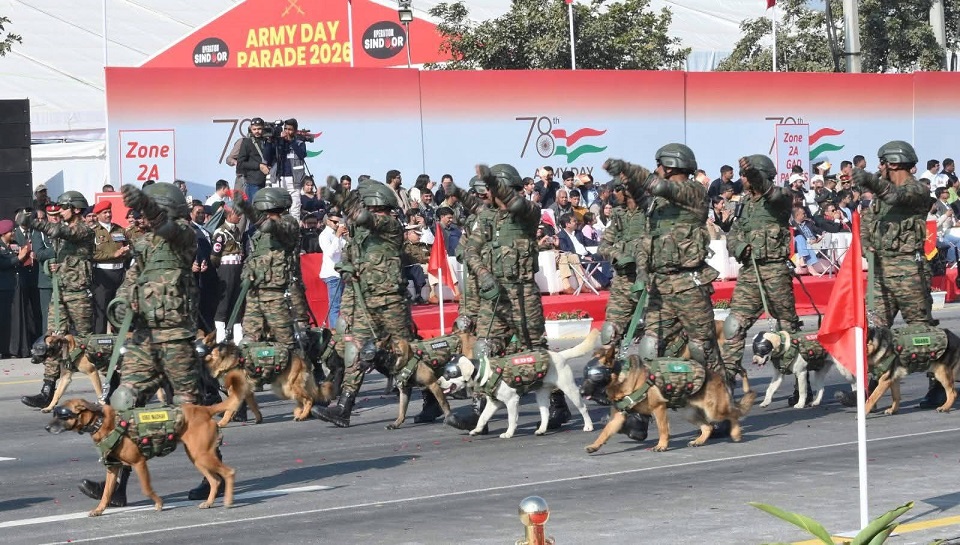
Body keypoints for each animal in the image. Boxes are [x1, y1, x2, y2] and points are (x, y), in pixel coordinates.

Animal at [45, 370, 245, 516]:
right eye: (55, 413)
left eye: (63, 415)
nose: (46, 427)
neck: (102, 422)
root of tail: (204, 410)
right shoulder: (112, 468)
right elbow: (106, 493)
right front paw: (99, 509)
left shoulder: (139, 463)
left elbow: (147, 489)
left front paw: (159, 503)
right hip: (197, 458)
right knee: (215, 480)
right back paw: (210, 502)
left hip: (202, 456)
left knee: (228, 472)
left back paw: (228, 501)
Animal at [201, 332, 334, 426]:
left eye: (201, 350)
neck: (225, 358)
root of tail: (300, 358)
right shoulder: (247, 393)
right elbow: (254, 407)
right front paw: (259, 418)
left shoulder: (236, 392)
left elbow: (229, 409)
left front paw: (222, 422)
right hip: (284, 390)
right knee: (301, 401)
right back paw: (299, 412)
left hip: (289, 388)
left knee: (309, 399)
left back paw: (303, 415)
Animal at [438, 330, 598, 439]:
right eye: (445, 371)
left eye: (450, 373)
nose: (438, 382)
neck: (484, 371)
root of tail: (560, 355)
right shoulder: (493, 403)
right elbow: (482, 417)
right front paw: (477, 430)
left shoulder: (511, 400)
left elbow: (511, 419)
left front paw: (509, 433)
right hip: (541, 394)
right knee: (545, 412)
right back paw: (542, 429)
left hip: (569, 389)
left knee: (583, 408)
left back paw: (588, 426)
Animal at [583, 355, 757, 453]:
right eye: (585, 377)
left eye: (595, 376)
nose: (582, 392)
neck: (622, 377)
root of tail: (719, 376)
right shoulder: (618, 418)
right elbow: (605, 432)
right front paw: (595, 445)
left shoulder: (658, 408)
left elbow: (662, 430)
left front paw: (662, 445)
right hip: (689, 413)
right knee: (708, 426)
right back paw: (699, 441)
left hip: (714, 410)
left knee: (734, 414)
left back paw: (736, 433)